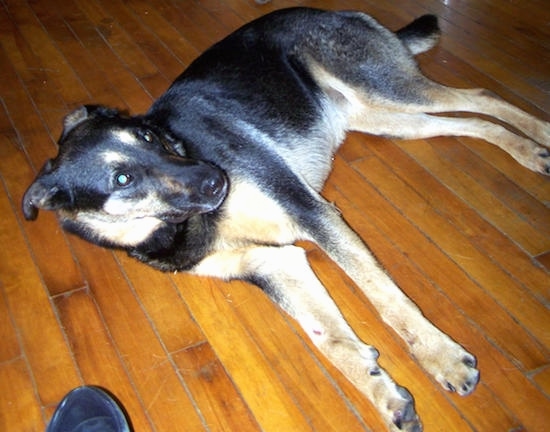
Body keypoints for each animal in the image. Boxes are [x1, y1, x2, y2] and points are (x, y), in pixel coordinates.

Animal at [21, 7, 550, 432]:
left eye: (149, 138)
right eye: (122, 178)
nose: (214, 178)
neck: (181, 224)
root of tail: (335, 11)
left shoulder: (311, 212)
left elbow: (385, 297)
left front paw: (439, 356)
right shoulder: (275, 264)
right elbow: (331, 340)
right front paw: (382, 392)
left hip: (386, 88)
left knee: (481, 96)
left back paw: (540, 134)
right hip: (389, 119)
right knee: (469, 122)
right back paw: (528, 151)